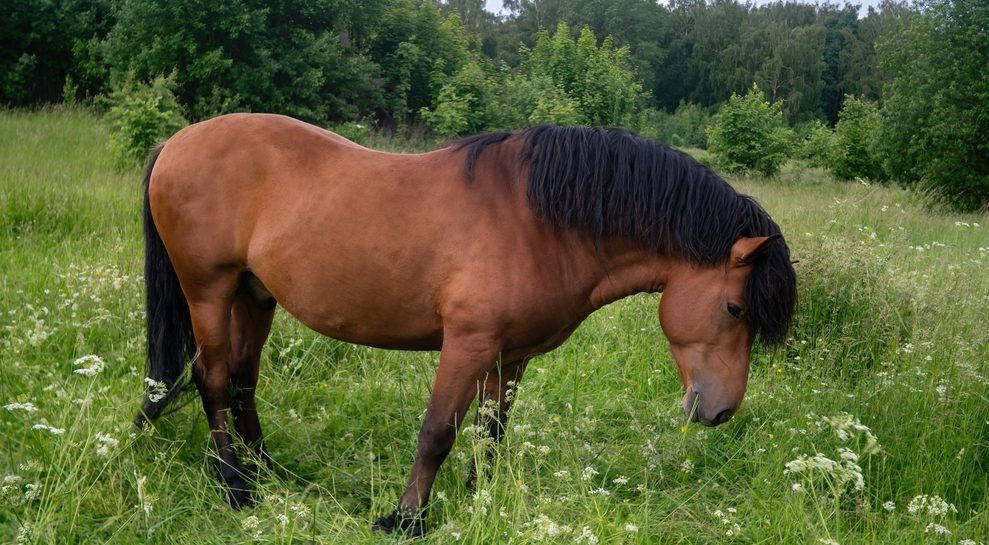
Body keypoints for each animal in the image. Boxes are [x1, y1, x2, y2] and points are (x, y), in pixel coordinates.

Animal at [135, 113, 796, 536]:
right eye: (736, 309)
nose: (720, 411)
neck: (541, 221)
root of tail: (177, 141)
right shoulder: (468, 345)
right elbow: (437, 432)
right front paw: (405, 519)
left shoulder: (512, 356)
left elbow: (490, 434)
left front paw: (482, 502)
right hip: (209, 291)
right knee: (213, 380)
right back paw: (236, 488)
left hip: (255, 296)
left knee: (242, 380)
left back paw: (268, 472)